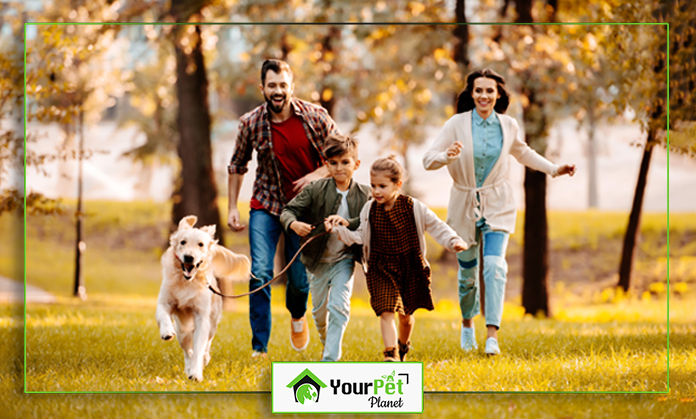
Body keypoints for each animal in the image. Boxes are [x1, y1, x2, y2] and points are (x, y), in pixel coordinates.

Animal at [156, 217, 251, 384]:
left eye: (200, 244)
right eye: (182, 242)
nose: (189, 257)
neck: (187, 281)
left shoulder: (202, 317)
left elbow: (200, 346)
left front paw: (196, 373)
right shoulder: (164, 301)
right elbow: (163, 314)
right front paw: (166, 331)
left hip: (212, 322)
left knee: (206, 343)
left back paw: (204, 359)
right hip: (182, 331)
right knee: (187, 350)